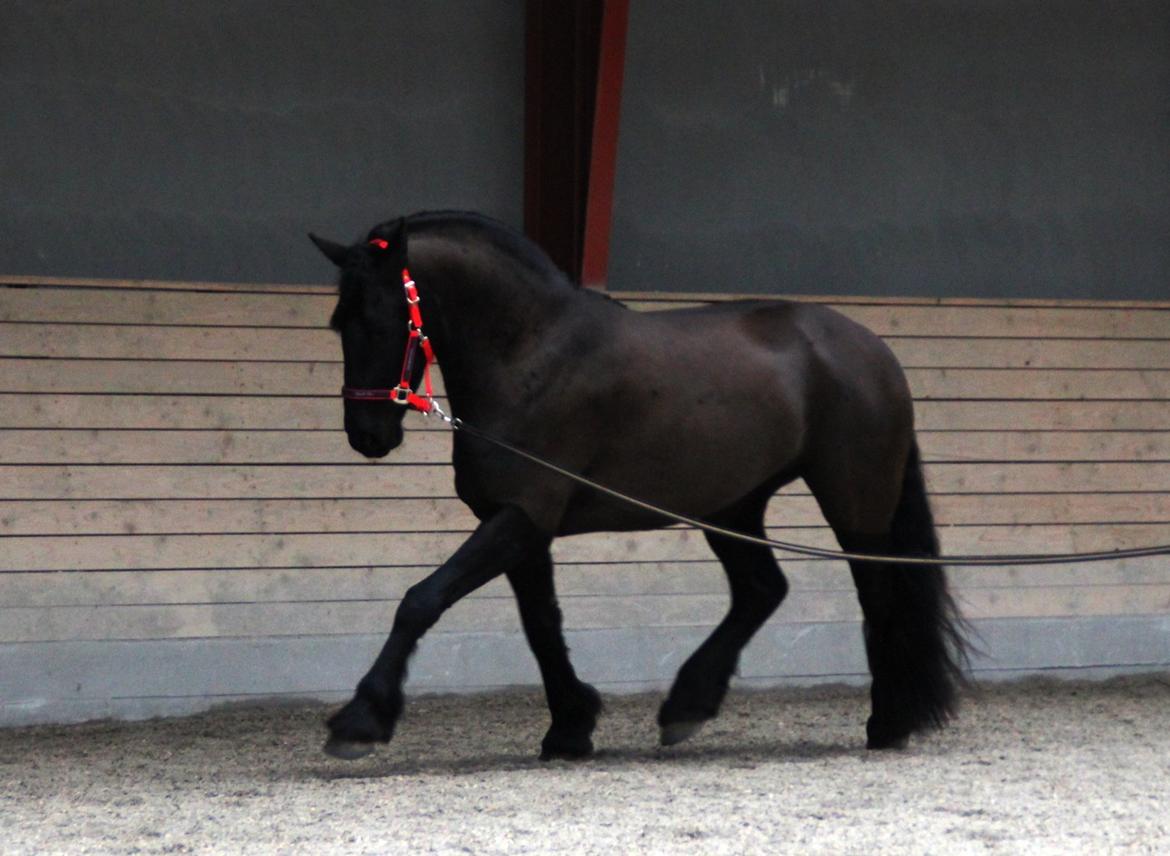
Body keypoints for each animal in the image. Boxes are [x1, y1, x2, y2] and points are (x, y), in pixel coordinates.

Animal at [306, 210, 964, 757]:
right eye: (339, 323)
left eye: (380, 319)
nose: (366, 434)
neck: (530, 355)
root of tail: (871, 351)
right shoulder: (519, 524)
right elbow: (541, 625)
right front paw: (570, 728)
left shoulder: (520, 518)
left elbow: (421, 600)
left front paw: (360, 720)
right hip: (731, 505)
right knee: (761, 590)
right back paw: (687, 706)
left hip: (854, 502)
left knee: (878, 596)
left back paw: (888, 722)